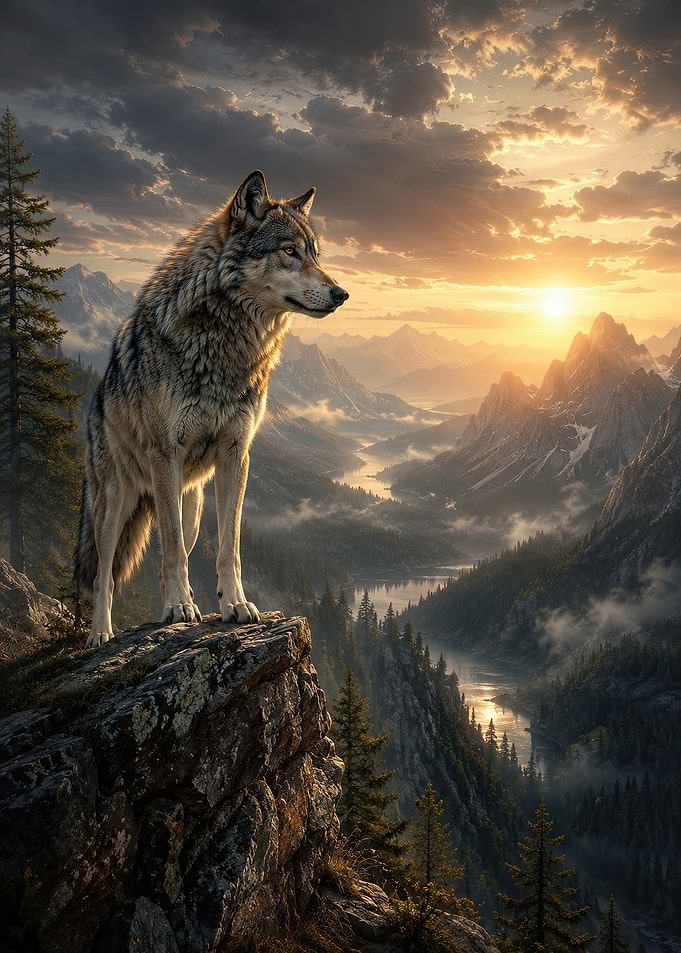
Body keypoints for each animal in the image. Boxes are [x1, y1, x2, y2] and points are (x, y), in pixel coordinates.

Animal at [75, 171, 349, 648]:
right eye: (289, 251)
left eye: (315, 254)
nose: (341, 293)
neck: (226, 345)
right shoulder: (165, 454)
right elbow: (167, 554)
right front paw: (178, 608)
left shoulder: (236, 455)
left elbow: (229, 547)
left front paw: (234, 604)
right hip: (113, 505)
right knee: (106, 574)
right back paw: (102, 633)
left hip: (192, 507)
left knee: (176, 549)